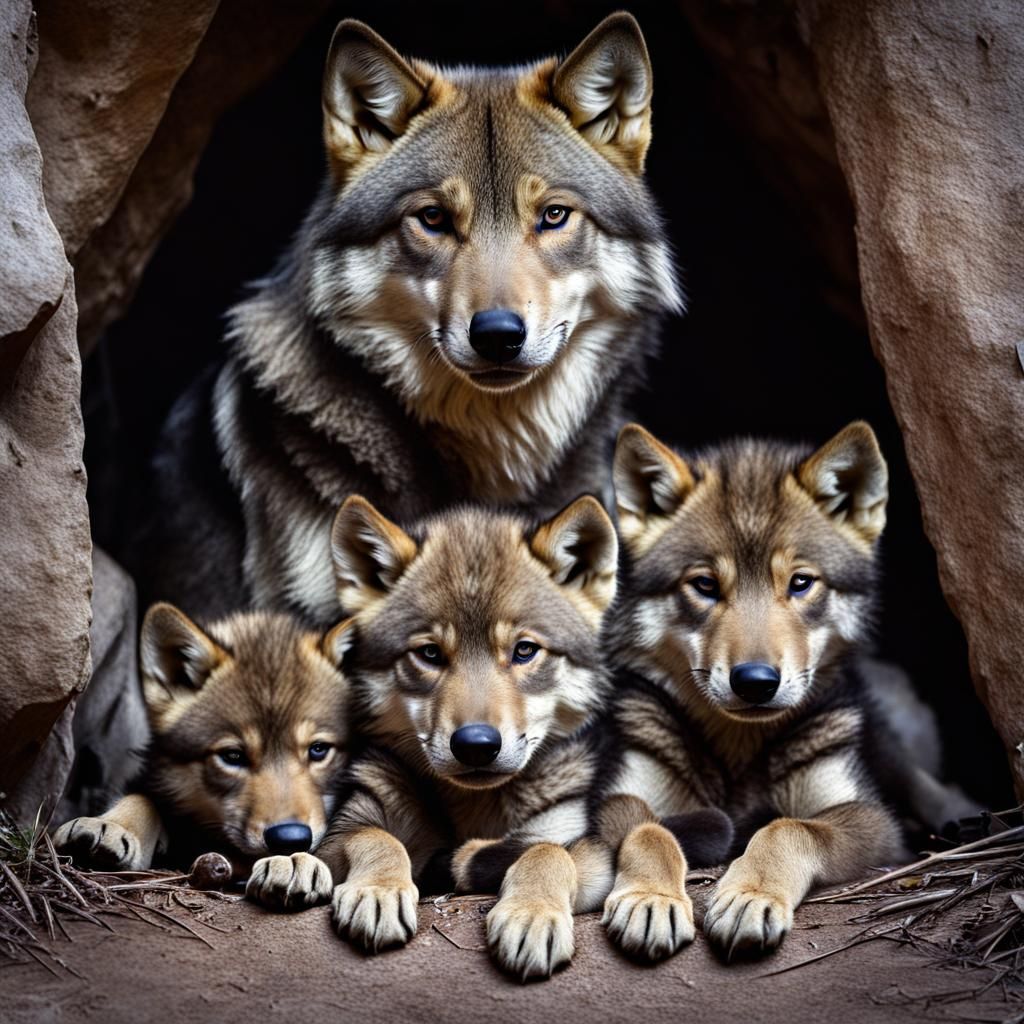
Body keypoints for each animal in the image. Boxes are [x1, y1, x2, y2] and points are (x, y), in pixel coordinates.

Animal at [54, 603, 353, 898]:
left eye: (318, 750)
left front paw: (293, 861)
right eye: (232, 756)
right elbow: (142, 798)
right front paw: (113, 826)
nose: (289, 839)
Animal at [246, 494, 731, 979]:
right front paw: (374, 890)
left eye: (524, 650)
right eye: (429, 654)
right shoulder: (352, 824)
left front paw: (531, 914)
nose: (476, 745)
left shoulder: (574, 844)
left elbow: (546, 852)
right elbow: (376, 838)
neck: (474, 810)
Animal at [596, 420, 965, 961]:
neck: (740, 753)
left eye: (800, 583)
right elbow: (650, 831)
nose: (755, 682)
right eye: (705, 585)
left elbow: (789, 827)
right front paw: (651, 900)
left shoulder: (868, 817)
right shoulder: (621, 798)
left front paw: (750, 896)